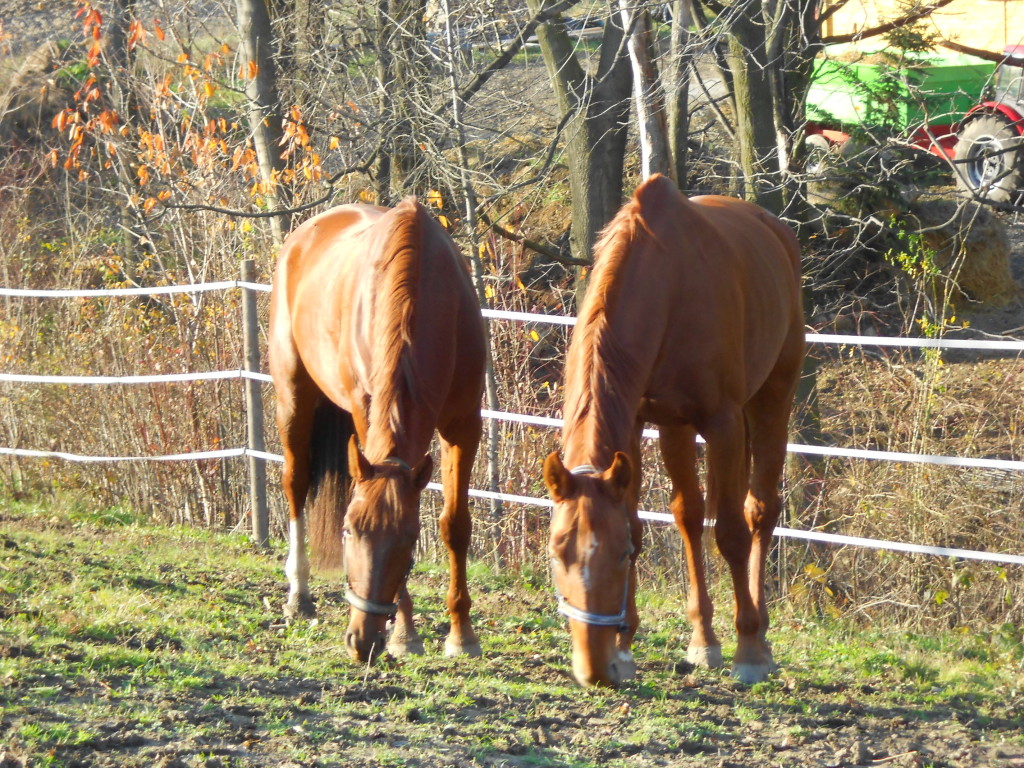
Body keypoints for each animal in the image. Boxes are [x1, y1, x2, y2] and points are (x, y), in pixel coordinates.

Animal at [268, 197, 486, 663]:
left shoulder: (464, 425)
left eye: (409, 539)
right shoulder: (363, 412)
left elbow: (456, 524)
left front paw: (462, 634)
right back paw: (299, 596)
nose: (362, 640)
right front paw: (405, 633)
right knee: (295, 481)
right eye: (349, 531)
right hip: (293, 394)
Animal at [543, 174, 805, 687]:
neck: (666, 284)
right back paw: (703, 638)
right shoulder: (637, 425)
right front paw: (627, 647)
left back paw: (760, 636)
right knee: (689, 515)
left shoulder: (722, 422)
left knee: (759, 511)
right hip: (677, 429)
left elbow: (731, 533)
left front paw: (747, 650)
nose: (593, 668)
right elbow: (648, 520)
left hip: (772, 397)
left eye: (618, 556)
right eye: (558, 554)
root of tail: (775, 229)